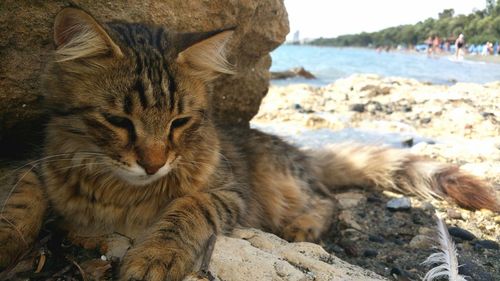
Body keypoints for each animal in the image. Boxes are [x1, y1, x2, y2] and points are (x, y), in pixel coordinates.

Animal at [0, 7, 498, 280]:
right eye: (119, 121)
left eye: (179, 122)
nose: (153, 164)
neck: (119, 191)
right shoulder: (33, 162)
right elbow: (21, 199)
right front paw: (8, 239)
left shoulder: (229, 192)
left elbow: (186, 210)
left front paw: (157, 254)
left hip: (283, 183)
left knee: (330, 201)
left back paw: (302, 226)